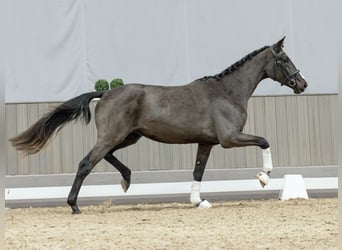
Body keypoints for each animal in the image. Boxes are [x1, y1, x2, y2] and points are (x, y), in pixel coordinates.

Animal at [9, 37, 308, 213]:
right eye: (284, 59)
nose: (302, 84)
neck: (228, 92)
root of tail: (105, 93)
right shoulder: (229, 138)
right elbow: (264, 140)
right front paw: (264, 177)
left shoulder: (207, 142)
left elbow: (198, 171)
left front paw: (199, 201)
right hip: (113, 136)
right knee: (86, 163)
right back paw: (74, 206)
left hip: (129, 136)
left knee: (106, 156)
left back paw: (126, 180)